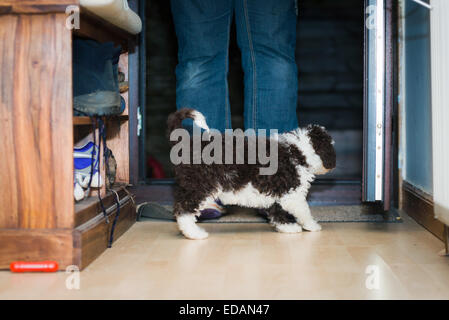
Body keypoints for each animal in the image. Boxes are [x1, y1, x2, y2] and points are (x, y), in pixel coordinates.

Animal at [166, 109, 334, 239]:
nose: (331, 166)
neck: (298, 151)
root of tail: (186, 143)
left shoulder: (276, 192)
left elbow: (277, 210)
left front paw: (287, 227)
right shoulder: (292, 194)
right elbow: (303, 210)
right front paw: (312, 225)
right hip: (200, 185)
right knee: (184, 210)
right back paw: (194, 233)